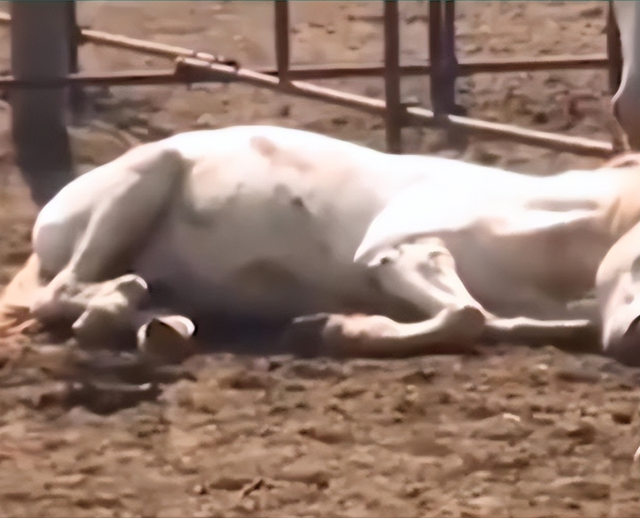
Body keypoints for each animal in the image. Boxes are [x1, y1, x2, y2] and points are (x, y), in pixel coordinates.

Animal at [0, 126, 636, 368]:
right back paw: (117, 310)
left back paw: (162, 328)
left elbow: (508, 321)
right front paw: (334, 329)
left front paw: (332, 324)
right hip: (145, 177)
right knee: (62, 292)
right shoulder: (399, 252)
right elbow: (468, 314)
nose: (632, 337)